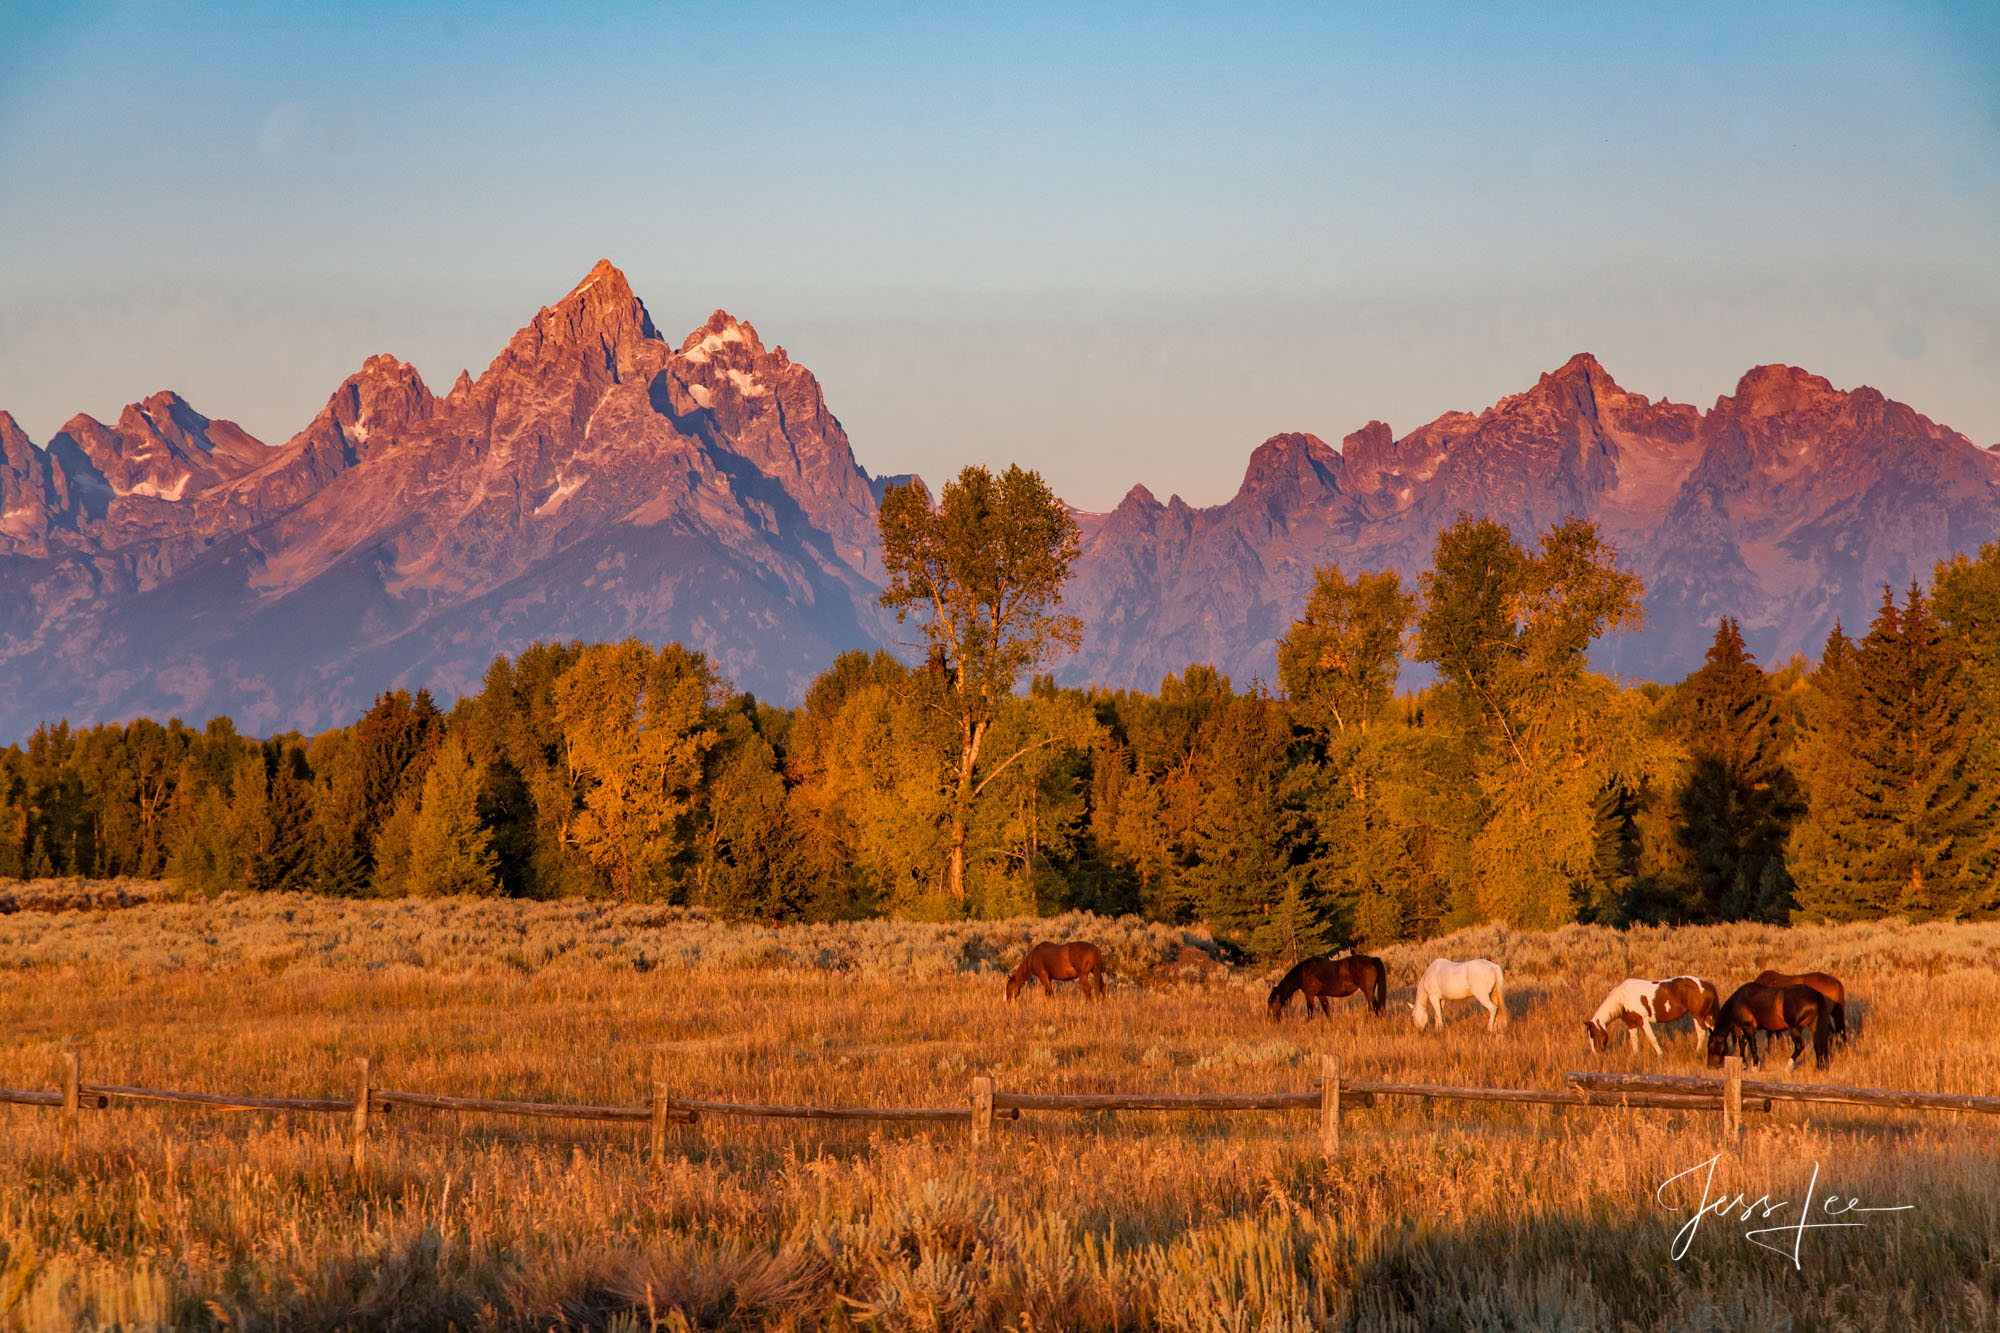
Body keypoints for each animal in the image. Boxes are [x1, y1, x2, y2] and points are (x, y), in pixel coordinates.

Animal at [1264, 948, 1392, 1012]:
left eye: (1272, 1002)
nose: (1270, 1020)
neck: (1302, 972)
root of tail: (1372, 959)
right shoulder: (1321, 995)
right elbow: (1327, 1011)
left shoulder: (1309, 995)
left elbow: (1310, 1013)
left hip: (1367, 990)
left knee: (1375, 1006)